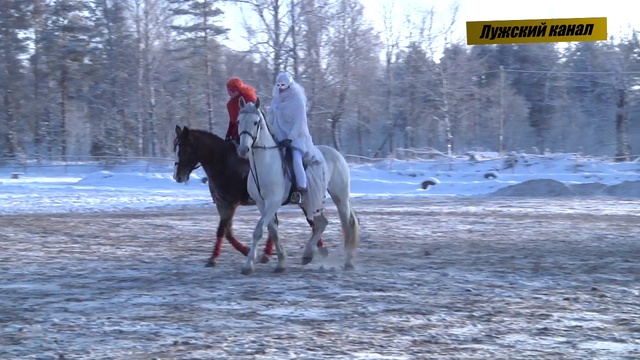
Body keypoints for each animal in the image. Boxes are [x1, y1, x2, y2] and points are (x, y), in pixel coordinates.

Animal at [172, 125, 328, 266]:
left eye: (187, 148)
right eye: (178, 148)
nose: (178, 176)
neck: (223, 162)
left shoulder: (230, 204)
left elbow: (222, 229)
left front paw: (215, 258)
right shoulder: (222, 204)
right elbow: (227, 232)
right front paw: (245, 251)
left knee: (312, 222)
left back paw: (317, 249)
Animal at [236, 97, 360, 274]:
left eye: (256, 122)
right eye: (239, 121)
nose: (243, 149)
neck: (265, 163)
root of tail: (337, 154)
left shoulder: (273, 202)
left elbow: (258, 230)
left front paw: (248, 265)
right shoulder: (262, 204)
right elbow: (273, 231)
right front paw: (281, 262)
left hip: (340, 198)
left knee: (347, 223)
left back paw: (348, 261)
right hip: (309, 201)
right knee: (322, 223)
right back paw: (307, 254)